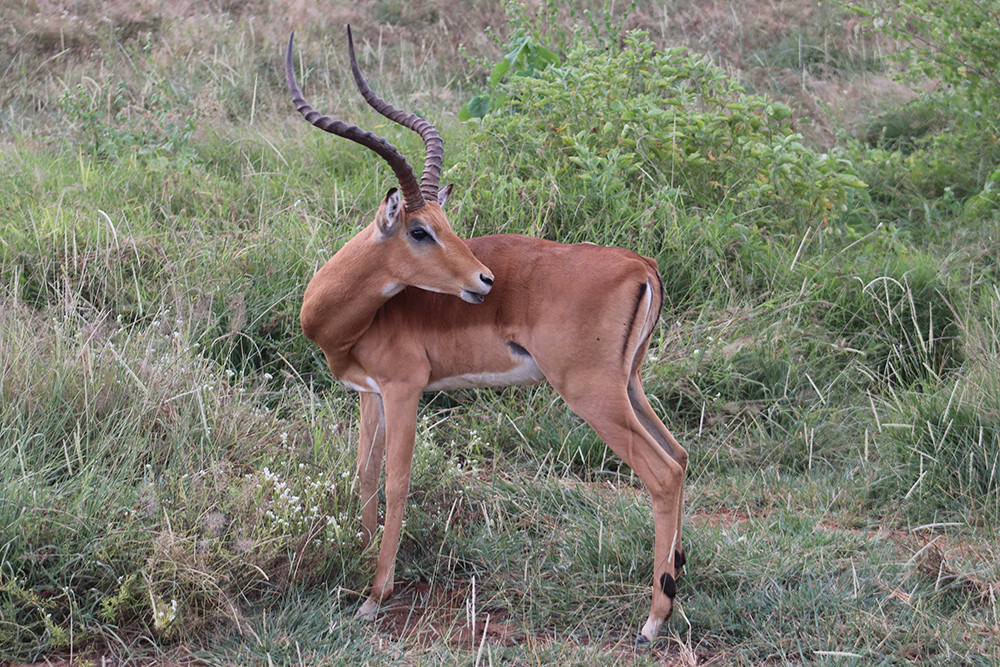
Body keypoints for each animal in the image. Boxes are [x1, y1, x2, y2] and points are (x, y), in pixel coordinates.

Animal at [285, 28, 687, 644]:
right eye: (422, 230)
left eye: (442, 226)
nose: (484, 280)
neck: (349, 319)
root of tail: (640, 265)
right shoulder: (368, 394)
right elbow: (364, 476)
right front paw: (358, 557)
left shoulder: (404, 390)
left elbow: (397, 481)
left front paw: (375, 595)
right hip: (630, 386)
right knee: (681, 455)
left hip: (591, 393)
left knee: (662, 474)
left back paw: (652, 620)